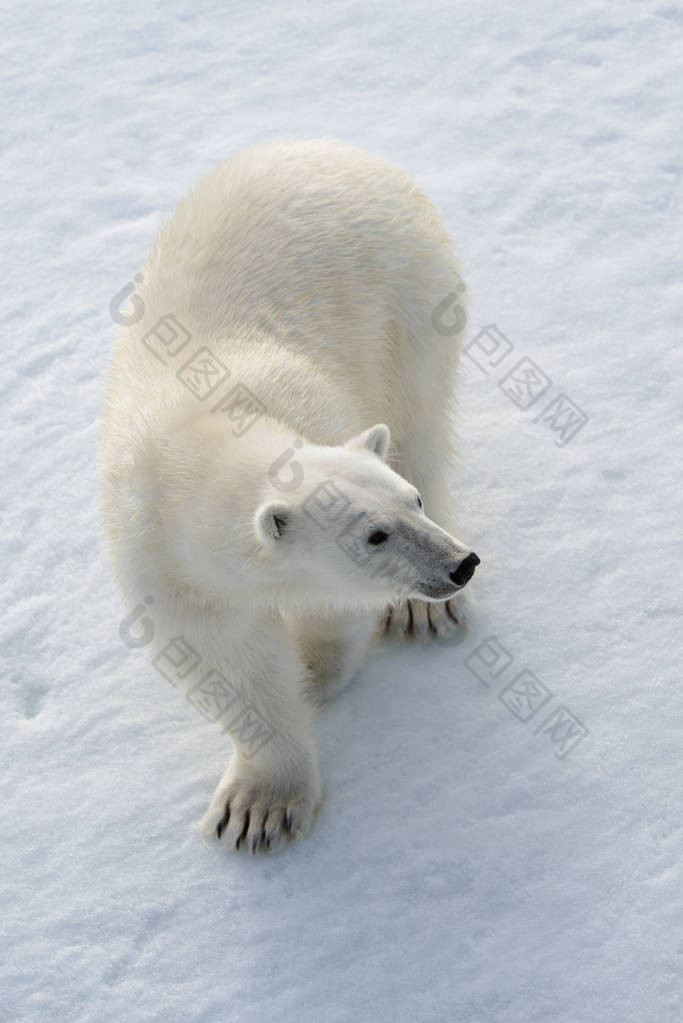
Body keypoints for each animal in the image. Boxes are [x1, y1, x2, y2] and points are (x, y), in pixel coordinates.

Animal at [101, 140, 478, 851]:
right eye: (374, 535)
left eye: (411, 502)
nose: (460, 565)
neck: (200, 442)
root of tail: (331, 147)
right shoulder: (161, 558)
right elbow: (230, 662)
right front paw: (256, 809)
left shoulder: (321, 412)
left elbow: (325, 612)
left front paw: (310, 676)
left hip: (410, 298)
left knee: (417, 417)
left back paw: (420, 613)